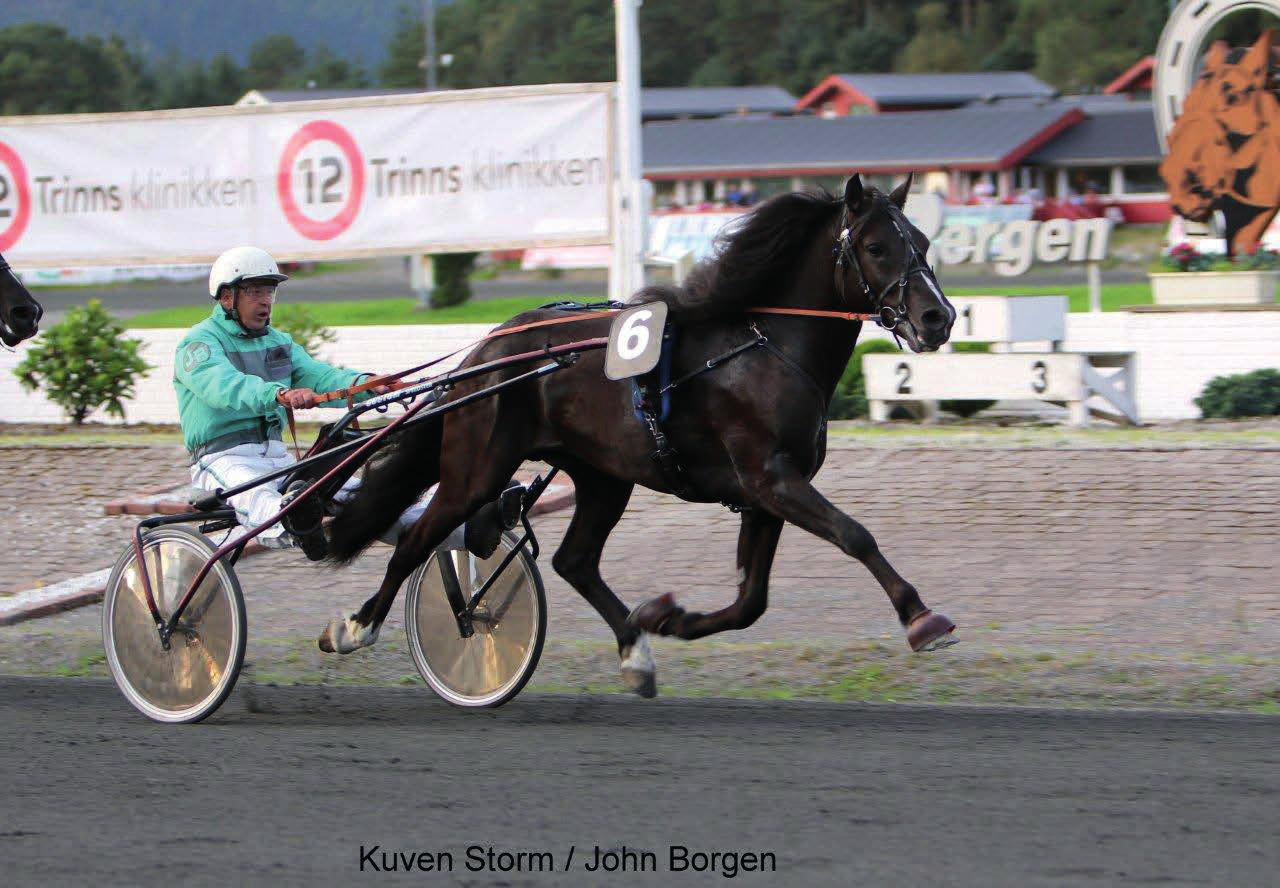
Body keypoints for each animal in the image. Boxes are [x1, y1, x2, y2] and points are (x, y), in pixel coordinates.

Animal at [322, 174, 962, 701]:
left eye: (923, 243)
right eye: (876, 247)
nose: (939, 318)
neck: (763, 347)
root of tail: (485, 351)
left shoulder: (767, 493)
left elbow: (750, 601)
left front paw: (667, 618)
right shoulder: (771, 478)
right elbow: (855, 535)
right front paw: (921, 617)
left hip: (603, 475)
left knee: (574, 560)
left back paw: (635, 650)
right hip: (476, 470)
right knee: (418, 539)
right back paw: (355, 627)